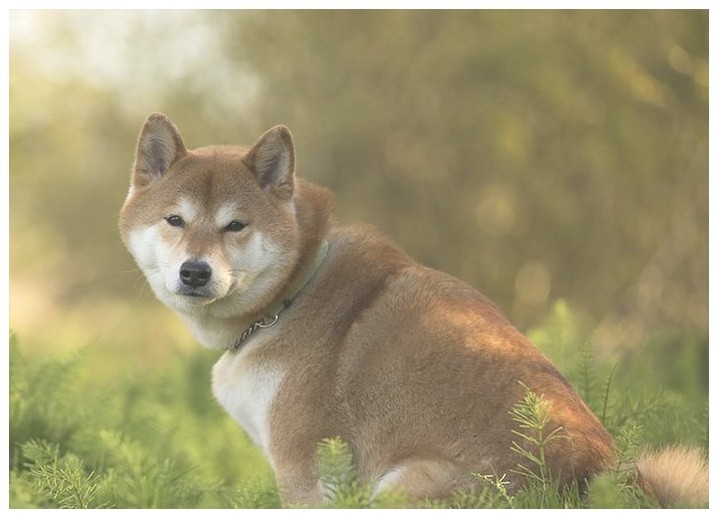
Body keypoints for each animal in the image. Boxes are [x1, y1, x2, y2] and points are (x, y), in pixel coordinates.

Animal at [118, 114, 708, 508]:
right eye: (174, 220)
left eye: (235, 226)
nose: (195, 271)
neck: (292, 294)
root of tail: (602, 481)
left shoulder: (307, 466)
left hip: (402, 485)